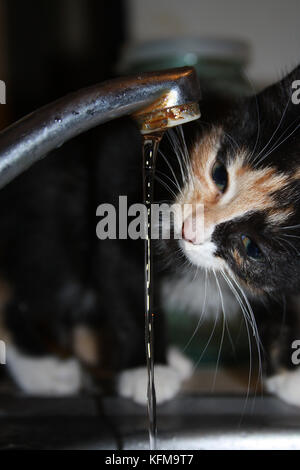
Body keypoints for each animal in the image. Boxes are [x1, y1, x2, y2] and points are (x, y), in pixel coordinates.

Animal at [0, 66, 300, 408]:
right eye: (219, 174)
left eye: (253, 248)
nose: (190, 230)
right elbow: (127, 277)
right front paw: (144, 370)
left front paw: (289, 371)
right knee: (36, 289)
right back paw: (43, 371)